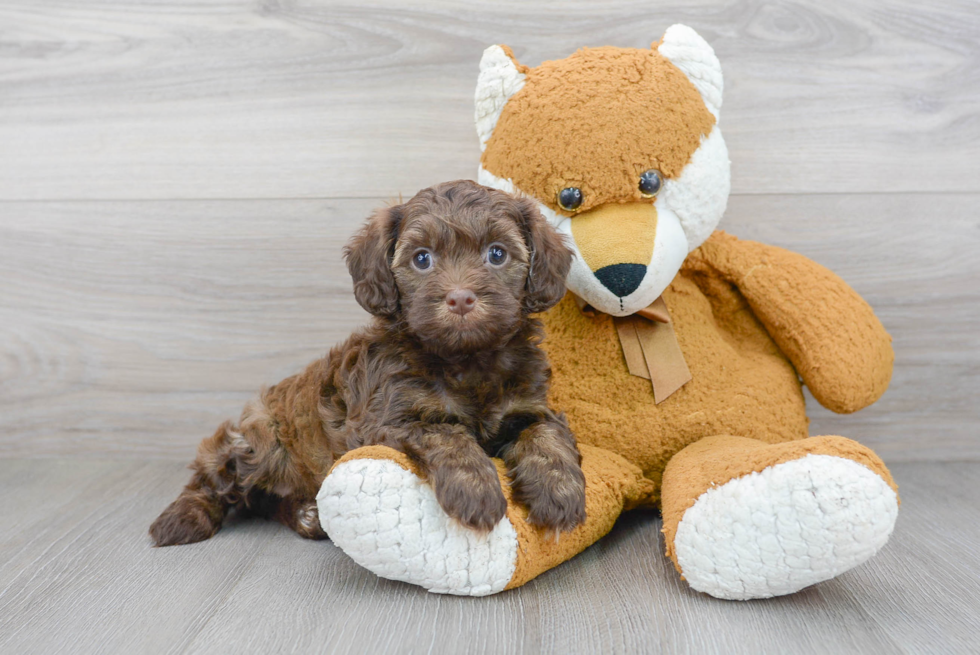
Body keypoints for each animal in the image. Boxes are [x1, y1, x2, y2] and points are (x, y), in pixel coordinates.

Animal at [149, 179, 584, 548]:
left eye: (497, 253)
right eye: (422, 259)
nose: (460, 298)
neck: (466, 359)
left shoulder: (528, 406)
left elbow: (546, 435)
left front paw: (560, 493)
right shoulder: (387, 420)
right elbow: (447, 434)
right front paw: (475, 491)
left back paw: (307, 515)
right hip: (261, 440)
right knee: (216, 476)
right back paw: (182, 518)